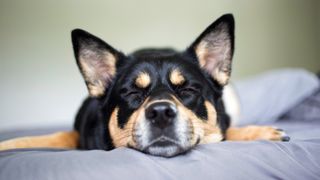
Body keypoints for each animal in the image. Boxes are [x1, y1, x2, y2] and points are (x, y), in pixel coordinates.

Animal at [0, 14, 290, 157]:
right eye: (132, 93)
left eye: (187, 91)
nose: (161, 113)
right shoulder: (76, 133)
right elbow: (51, 137)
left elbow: (225, 132)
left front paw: (259, 132)